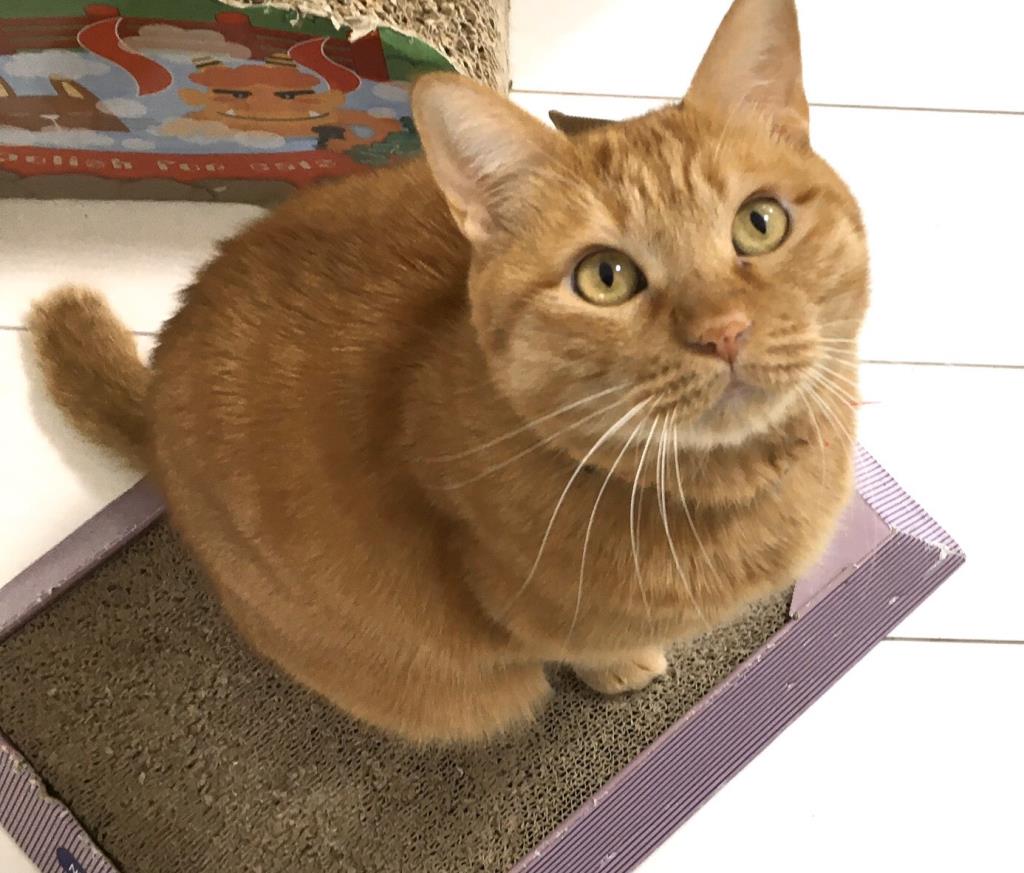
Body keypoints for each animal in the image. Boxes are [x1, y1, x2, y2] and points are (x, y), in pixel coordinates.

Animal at [27, 0, 868, 744]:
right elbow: (577, 646)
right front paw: (621, 665)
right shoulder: (518, 611)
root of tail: (157, 389)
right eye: (605, 277)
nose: (723, 332)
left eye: (759, 222)